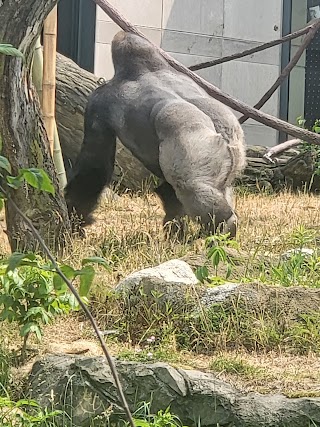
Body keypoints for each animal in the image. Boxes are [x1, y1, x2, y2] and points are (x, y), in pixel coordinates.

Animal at [64, 29, 245, 239]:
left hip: (198, 145)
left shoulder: (98, 101)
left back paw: (223, 224)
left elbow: (94, 167)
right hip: (233, 155)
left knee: (190, 186)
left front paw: (75, 217)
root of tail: (225, 136)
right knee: (218, 187)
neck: (147, 68)